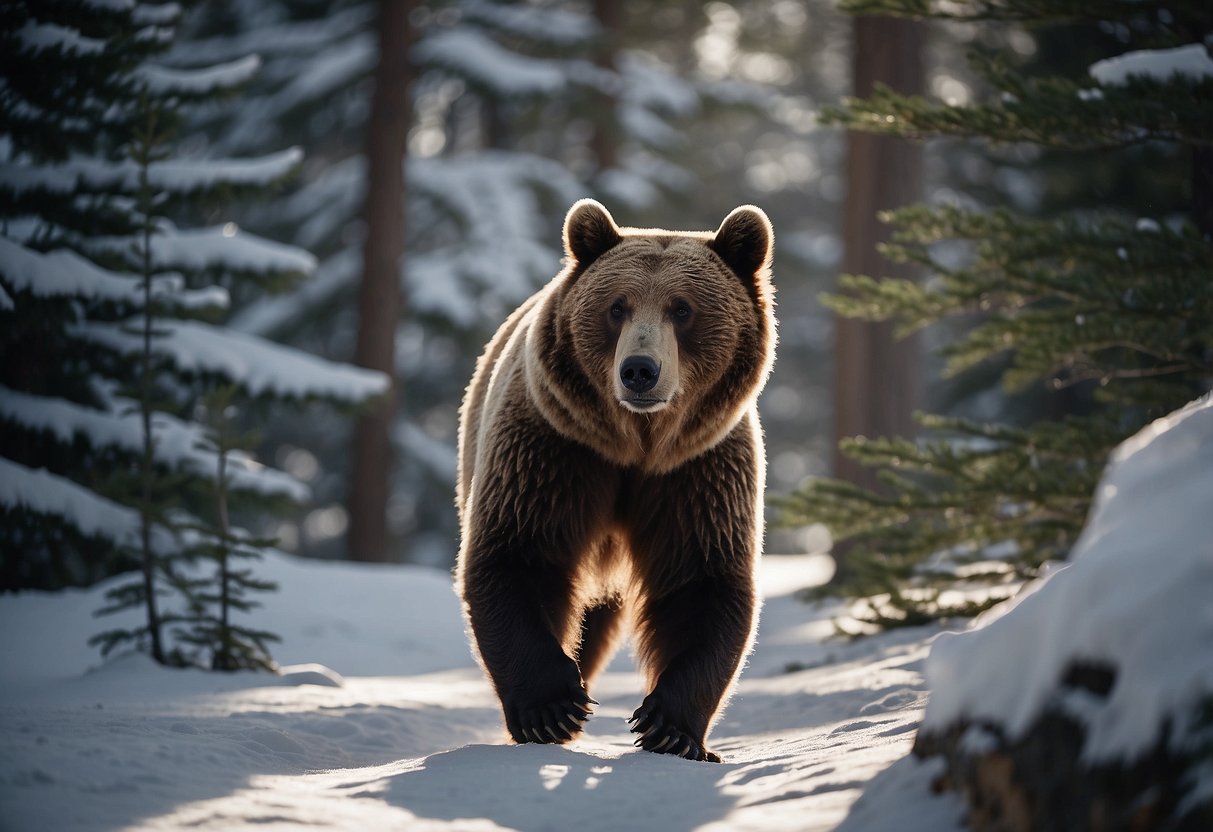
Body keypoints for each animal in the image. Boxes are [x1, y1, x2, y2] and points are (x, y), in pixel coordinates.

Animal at [456, 200, 776, 761]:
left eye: (682, 309)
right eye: (617, 307)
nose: (640, 370)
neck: (635, 447)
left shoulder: (697, 472)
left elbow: (702, 581)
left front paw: (670, 726)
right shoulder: (555, 450)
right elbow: (517, 554)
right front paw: (552, 708)